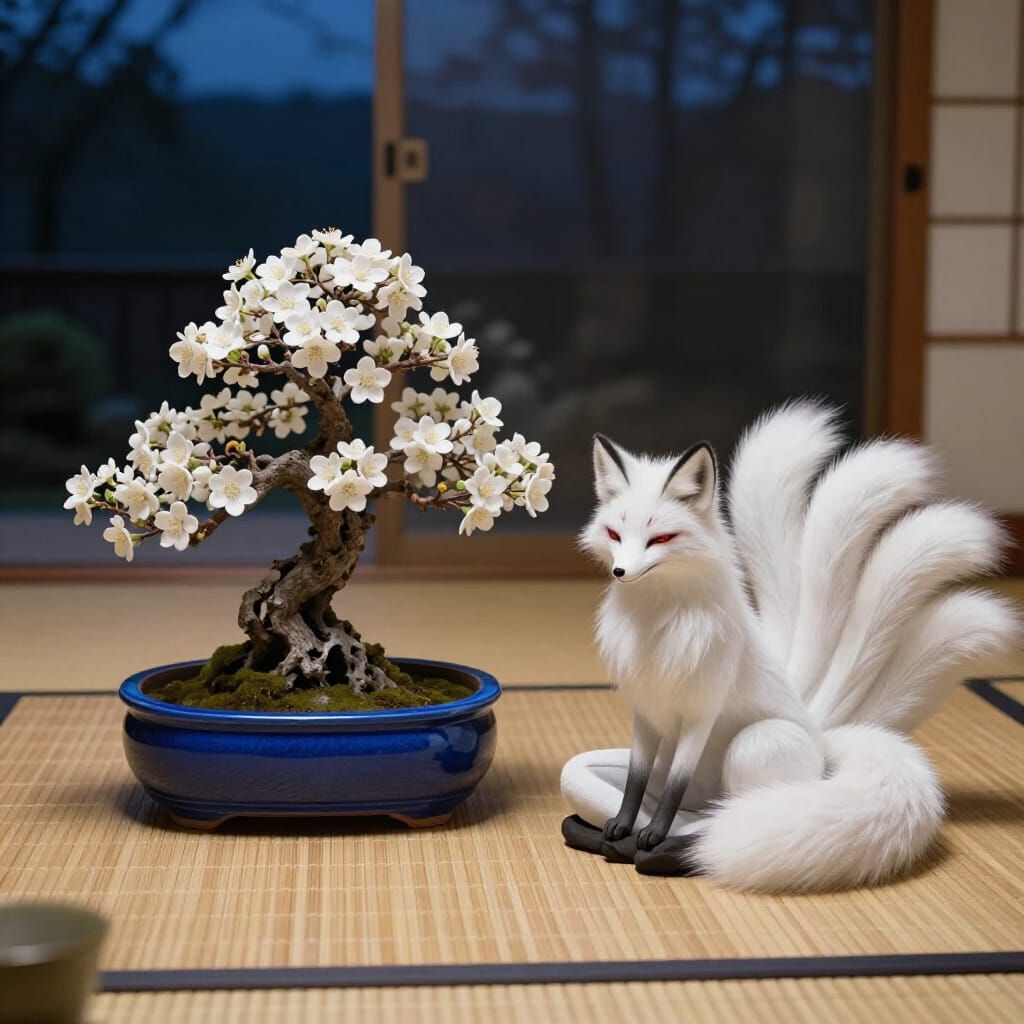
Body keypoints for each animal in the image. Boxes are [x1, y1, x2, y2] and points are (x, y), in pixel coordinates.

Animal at [560, 401, 1019, 891]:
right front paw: (623, 827)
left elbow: (671, 793)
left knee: (735, 813)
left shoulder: (701, 710)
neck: (655, 625)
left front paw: (652, 836)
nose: (621, 572)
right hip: (586, 772)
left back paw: (674, 849)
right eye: (614, 534)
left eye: (661, 538)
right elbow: (635, 781)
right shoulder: (645, 712)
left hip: (752, 746)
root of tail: (821, 741)